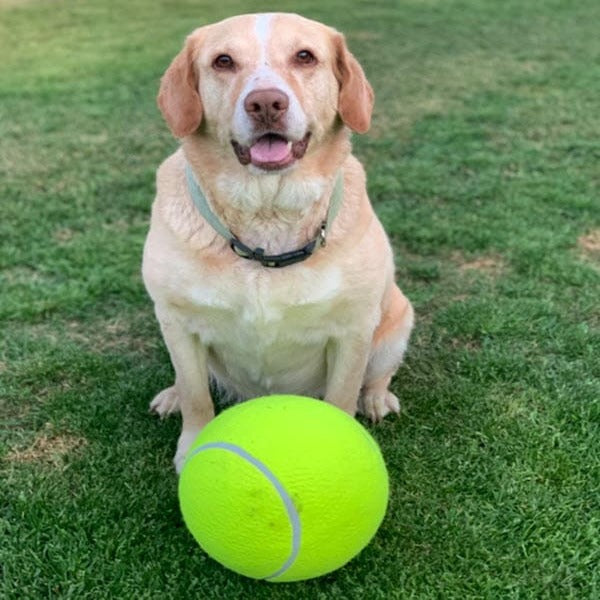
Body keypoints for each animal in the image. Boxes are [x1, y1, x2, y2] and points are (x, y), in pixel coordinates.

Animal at [142, 11, 412, 472]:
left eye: (305, 57)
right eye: (223, 61)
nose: (266, 103)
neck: (266, 220)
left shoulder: (353, 330)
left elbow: (343, 395)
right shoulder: (177, 321)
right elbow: (197, 395)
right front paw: (192, 445)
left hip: (396, 321)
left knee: (377, 376)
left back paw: (377, 399)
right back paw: (172, 395)